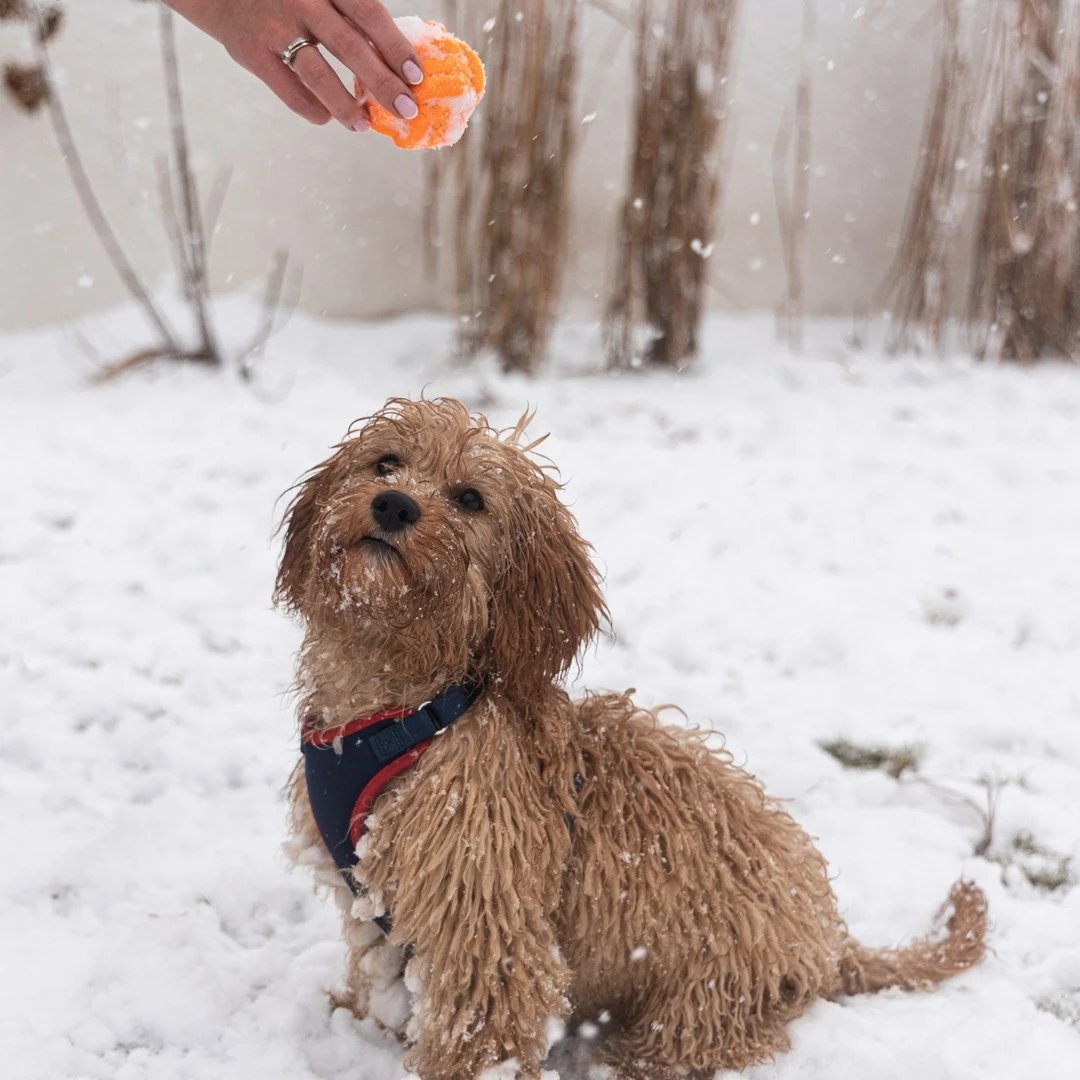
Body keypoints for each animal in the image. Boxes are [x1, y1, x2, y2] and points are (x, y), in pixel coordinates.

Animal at [278, 399, 989, 1080]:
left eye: (471, 498)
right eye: (386, 463)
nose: (395, 504)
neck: (404, 708)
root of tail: (830, 939)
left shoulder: (487, 915)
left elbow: (484, 1025)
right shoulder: (373, 898)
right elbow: (383, 976)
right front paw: (360, 1021)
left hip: (705, 996)